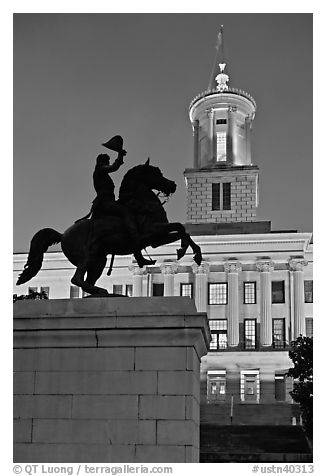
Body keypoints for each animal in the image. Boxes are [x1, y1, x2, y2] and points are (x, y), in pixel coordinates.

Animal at [17, 160, 202, 294]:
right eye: (157, 173)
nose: (173, 185)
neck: (143, 203)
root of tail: (63, 234)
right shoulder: (153, 233)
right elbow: (180, 228)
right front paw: (184, 251)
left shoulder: (157, 239)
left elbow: (183, 231)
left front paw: (194, 253)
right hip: (88, 256)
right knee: (77, 279)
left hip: (99, 261)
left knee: (86, 281)